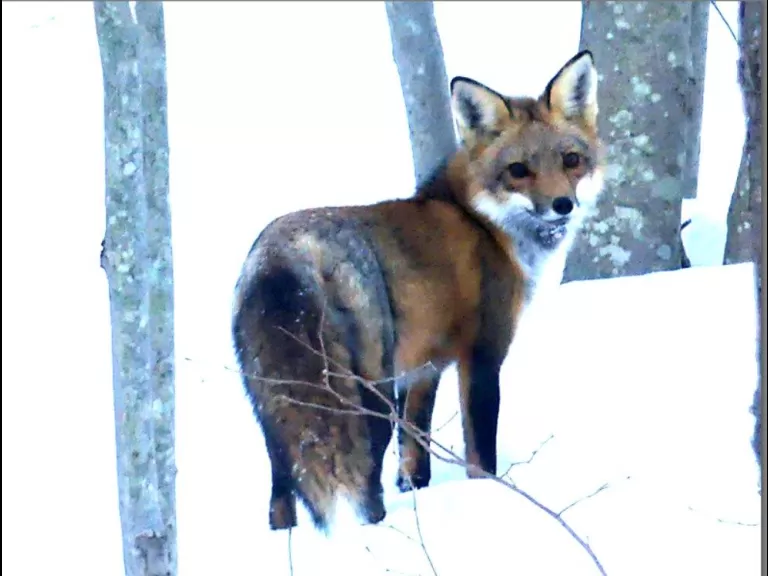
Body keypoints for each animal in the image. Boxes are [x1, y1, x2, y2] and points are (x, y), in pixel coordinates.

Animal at [231, 50, 606, 533]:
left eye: (571, 160)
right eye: (519, 171)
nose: (563, 205)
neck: (480, 221)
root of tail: (282, 255)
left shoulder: (423, 371)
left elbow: (415, 453)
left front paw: (416, 490)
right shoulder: (481, 355)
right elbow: (479, 453)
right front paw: (485, 497)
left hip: (270, 403)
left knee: (282, 488)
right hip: (368, 394)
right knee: (362, 480)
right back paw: (375, 527)